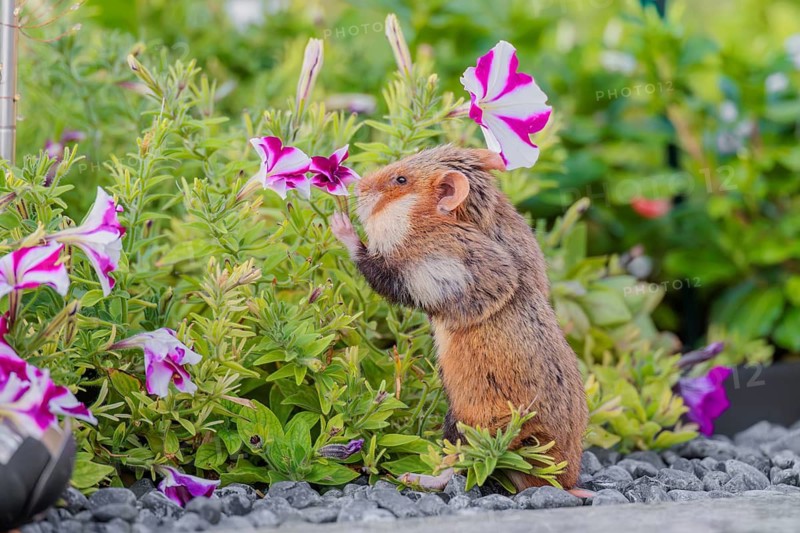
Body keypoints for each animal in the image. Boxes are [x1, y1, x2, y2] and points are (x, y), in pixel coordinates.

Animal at [331, 145, 587, 490]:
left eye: (401, 180)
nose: (356, 186)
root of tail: (562, 483)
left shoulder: (434, 268)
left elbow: (374, 264)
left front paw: (340, 224)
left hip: (468, 421)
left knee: (462, 465)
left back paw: (414, 477)